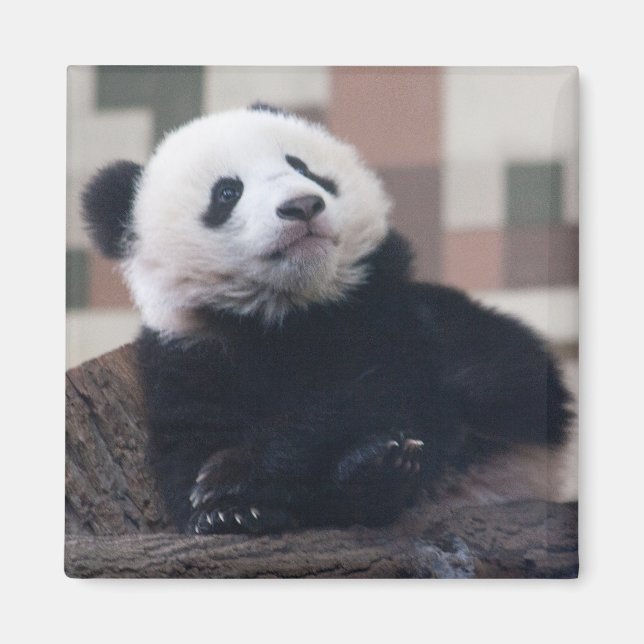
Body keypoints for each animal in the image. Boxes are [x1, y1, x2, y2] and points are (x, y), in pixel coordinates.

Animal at [82, 103, 573, 535]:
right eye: (227, 192)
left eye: (304, 167)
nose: (302, 205)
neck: (288, 310)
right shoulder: (190, 349)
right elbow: (187, 441)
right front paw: (226, 512)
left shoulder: (385, 310)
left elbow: (379, 391)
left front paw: (233, 473)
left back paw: (379, 471)